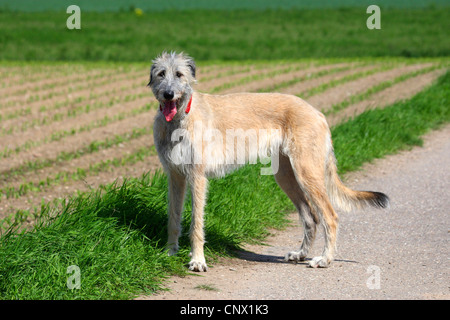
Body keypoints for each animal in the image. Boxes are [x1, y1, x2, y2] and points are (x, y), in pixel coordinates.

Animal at [148, 51, 386, 272]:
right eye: (161, 74)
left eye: (179, 74)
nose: (168, 94)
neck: (180, 119)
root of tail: (318, 112)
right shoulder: (175, 176)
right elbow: (173, 217)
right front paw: (170, 252)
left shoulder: (197, 177)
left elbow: (196, 224)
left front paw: (197, 260)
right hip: (286, 176)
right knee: (310, 217)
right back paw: (300, 254)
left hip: (307, 173)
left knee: (330, 216)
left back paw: (325, 259)